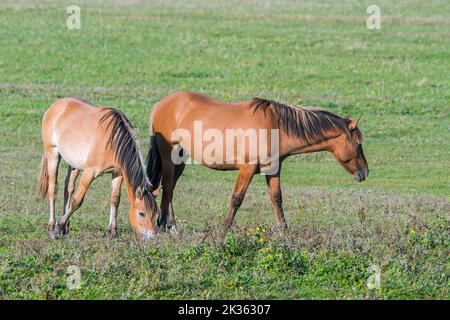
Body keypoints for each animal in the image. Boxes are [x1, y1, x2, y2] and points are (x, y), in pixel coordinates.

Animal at [38, 99, 159, 239]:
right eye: (141, 213)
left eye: (156, 213)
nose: (152, 236)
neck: (113, 140)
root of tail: (56, 106)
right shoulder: (89, 172)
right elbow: (77, 201)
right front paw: (57, 228)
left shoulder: (118, 172)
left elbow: (115, 199)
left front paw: (113, 232)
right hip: (53, 154)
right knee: (53, 189)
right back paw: (52, 226)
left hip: (73, 164)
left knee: (68, 188)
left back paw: (65, 228)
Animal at [146, 91, 368, 234]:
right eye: (358, 143)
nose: (365, 173)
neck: (276, 126)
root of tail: (160, 105)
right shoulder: (247, 168)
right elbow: (236, 199)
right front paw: (223, 230)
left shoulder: (273, 169)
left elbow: (277, 199)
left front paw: (284, 231)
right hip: (169, 156)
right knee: (168, 187)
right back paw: (169, 225)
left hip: (180, 159)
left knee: (169, 187)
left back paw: (167, 225)